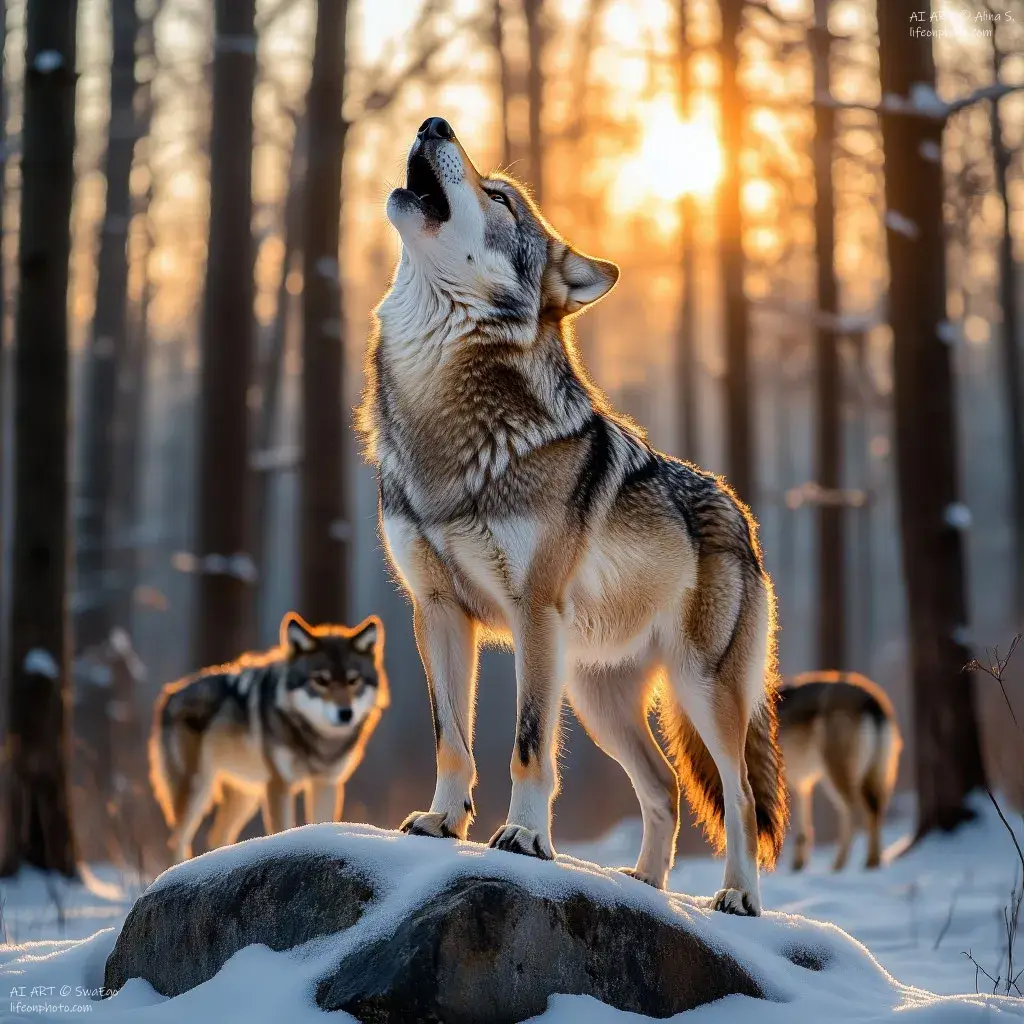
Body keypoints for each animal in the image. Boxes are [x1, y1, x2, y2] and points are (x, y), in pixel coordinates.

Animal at [149, 612, 387, 862]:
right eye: (321, 680)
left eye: (353, 681)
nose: (345, 713)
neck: (318, 741)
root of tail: (170, 694)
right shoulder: (279, 784)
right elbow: (283, 828)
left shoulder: (326, 783)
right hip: (199, 789)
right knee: (177, 840)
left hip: (246, 796)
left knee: (216, 836)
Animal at [356, 116, 787, 915]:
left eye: (499, 195)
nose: (434, 123)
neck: (439, 413)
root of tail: (740, 513)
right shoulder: (435, 610)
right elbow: (450, 738)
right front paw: (441, 821)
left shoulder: (533, 614)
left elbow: (526, 746)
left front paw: (525, 838)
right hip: (596, 696)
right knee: (666, 787)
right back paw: (644, 885)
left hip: (698, 690)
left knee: (740, 794)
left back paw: (737, 899)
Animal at [778, 671, 901, 872]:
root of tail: (870, 700)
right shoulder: (802, 785)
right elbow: (803, 833)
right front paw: (798, 867)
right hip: (869, 777)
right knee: (875, 812)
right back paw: (872, 864)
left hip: (835, 776)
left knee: (853, 813)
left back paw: (839, 866)